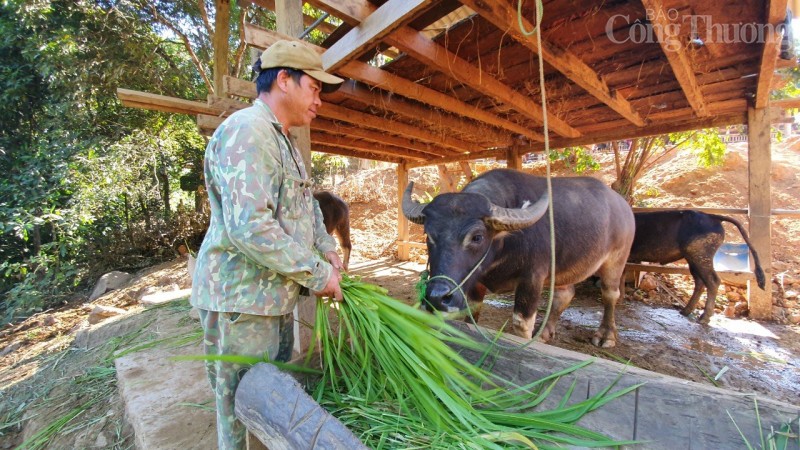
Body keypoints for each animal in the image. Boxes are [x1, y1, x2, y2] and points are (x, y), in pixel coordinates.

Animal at [404, 169, 636, 348]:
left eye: (477, 237)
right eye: (428, 235)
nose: (436, 298)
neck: (504, 244)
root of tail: (624, 207)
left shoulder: (532, 278)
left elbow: (521, 323)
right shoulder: (476, 282)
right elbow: (471, 314)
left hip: (616, 260)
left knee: (610, 295)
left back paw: (606, 336)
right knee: (565, 294)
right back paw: (544, 333)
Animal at [628, 211, 764, 324]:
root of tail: (713, 217)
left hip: (700, 257)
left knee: (713, 281)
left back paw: (704, 318)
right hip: (693, 261)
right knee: (700, 282)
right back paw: (686, 311)